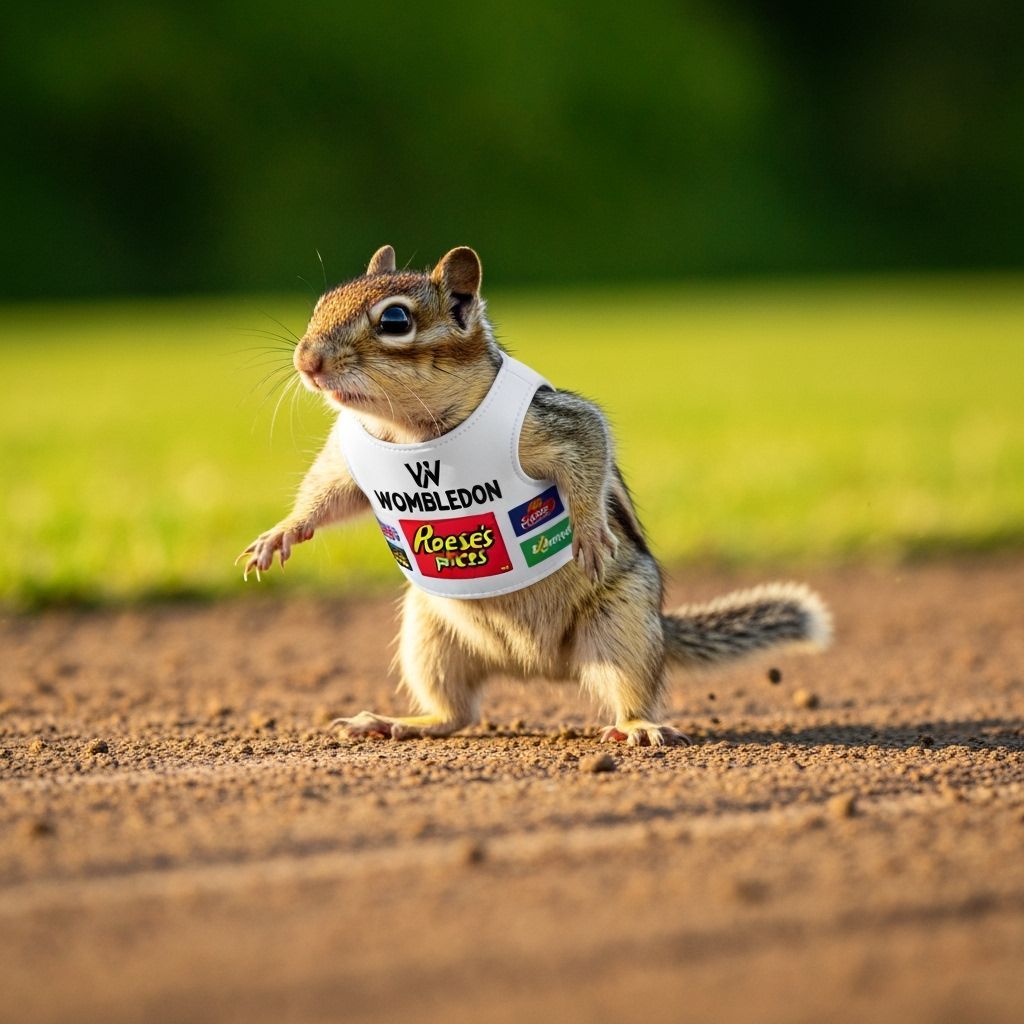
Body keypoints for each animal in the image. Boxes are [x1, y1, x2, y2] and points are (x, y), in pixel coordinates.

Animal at [238, 245, 832, 746]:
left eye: (395, 321)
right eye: (321, 303)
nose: (306, 361)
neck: (409, 432)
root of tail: (536, 668)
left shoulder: (556, 424)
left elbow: (590, 445)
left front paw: (588, 532)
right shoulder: (349, 460)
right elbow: (327, 496)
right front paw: (279, 535)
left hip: (623, 625)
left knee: (630, 691)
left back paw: (638, 726)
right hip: (428, 635)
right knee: (456, 711)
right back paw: (398, 722)